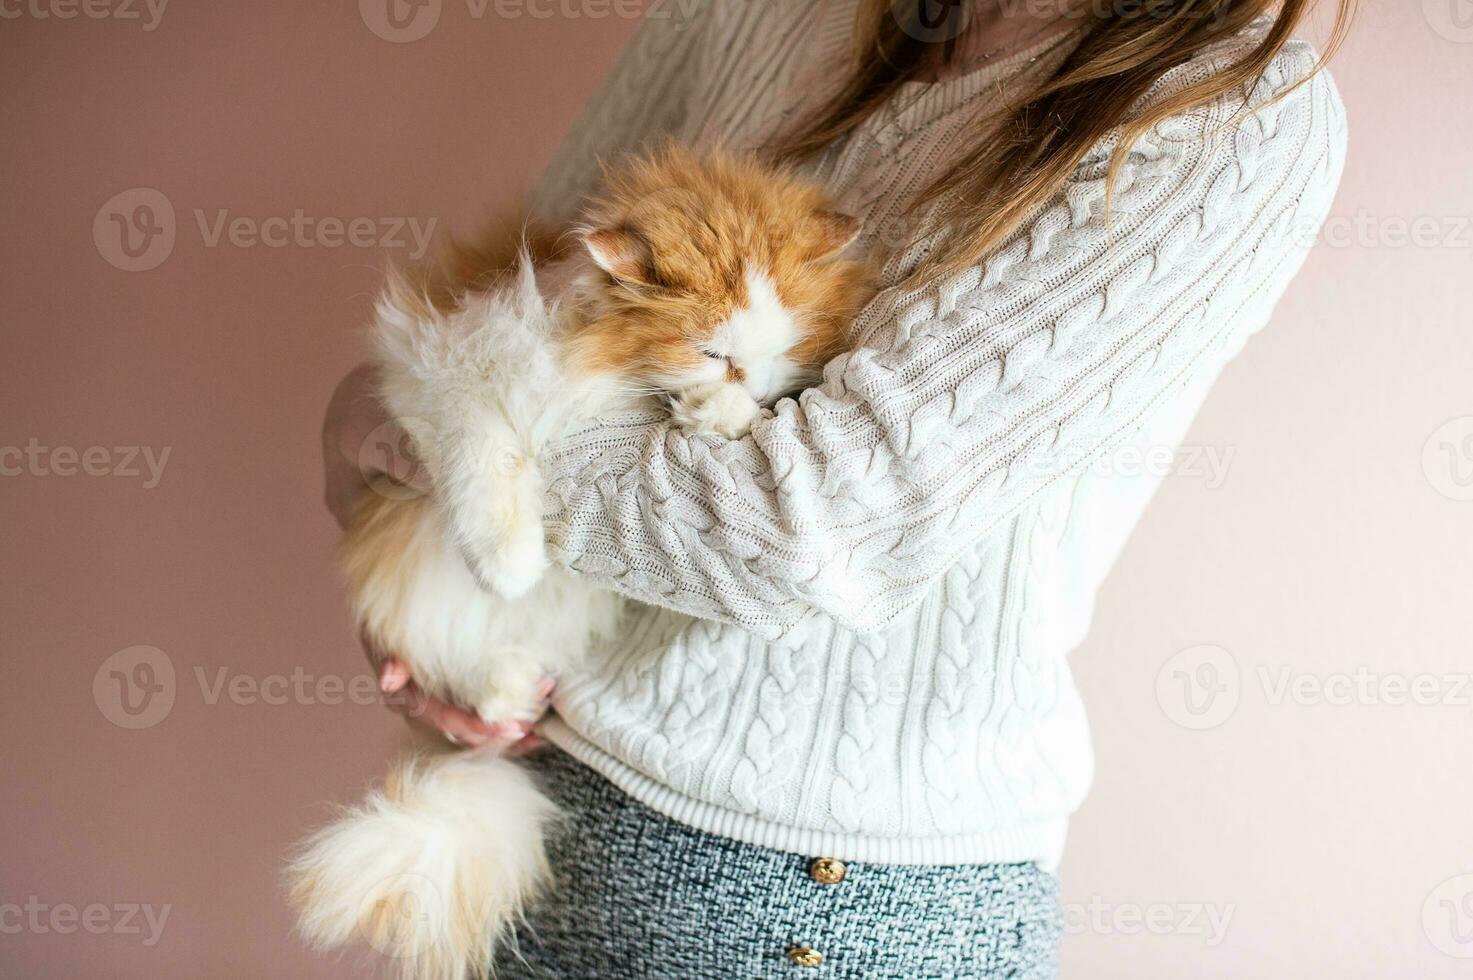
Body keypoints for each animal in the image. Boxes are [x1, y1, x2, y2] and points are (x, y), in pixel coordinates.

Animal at [281, 147, 866, 978]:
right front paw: (509, 562)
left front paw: (720, 416)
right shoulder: (441, 375)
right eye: (713, 350)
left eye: (778, 348)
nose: (749, 382)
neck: (594, 352)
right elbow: (487, 463)